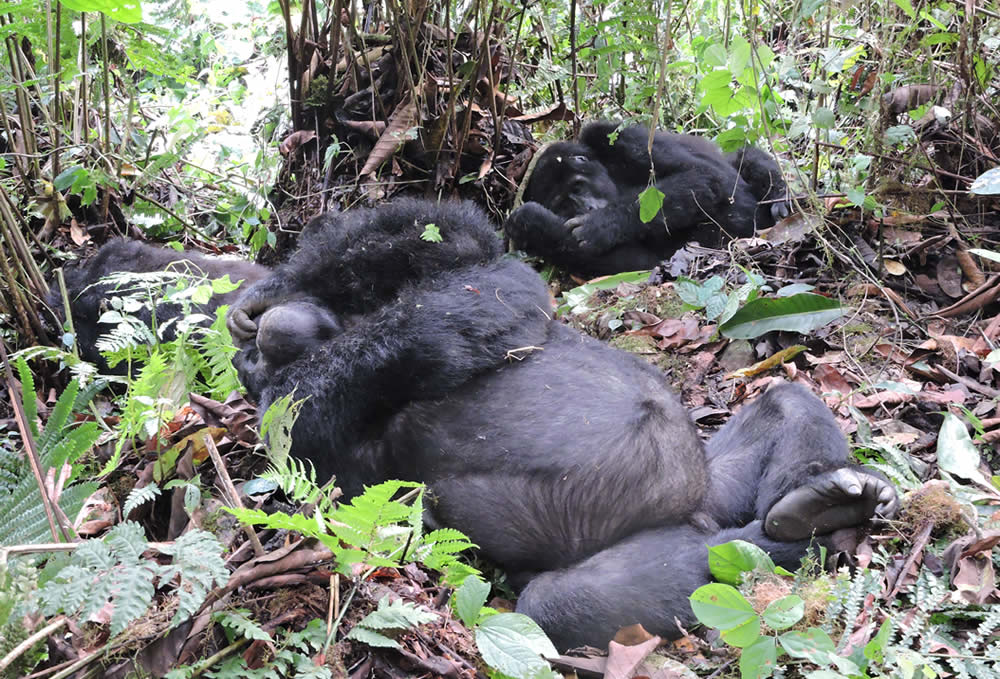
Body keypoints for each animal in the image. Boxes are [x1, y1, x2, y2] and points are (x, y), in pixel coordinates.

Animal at [229, 198, 900, 652]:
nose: (253, 350)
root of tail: (699, 517)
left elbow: (453, 245)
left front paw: (269, 292)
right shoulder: (304, 423)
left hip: (714, 487)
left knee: (786, 401)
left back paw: (826, 498)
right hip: (674, 537)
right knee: (564, 601)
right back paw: (789, 541)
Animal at [504, 120, 792, 276]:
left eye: (578, 186)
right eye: (562, 205)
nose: (586, 208)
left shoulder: (614, 136)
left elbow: (705, 176)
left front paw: (602, 224)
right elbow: (640, 262)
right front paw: (532, 221)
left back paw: (782, 197)